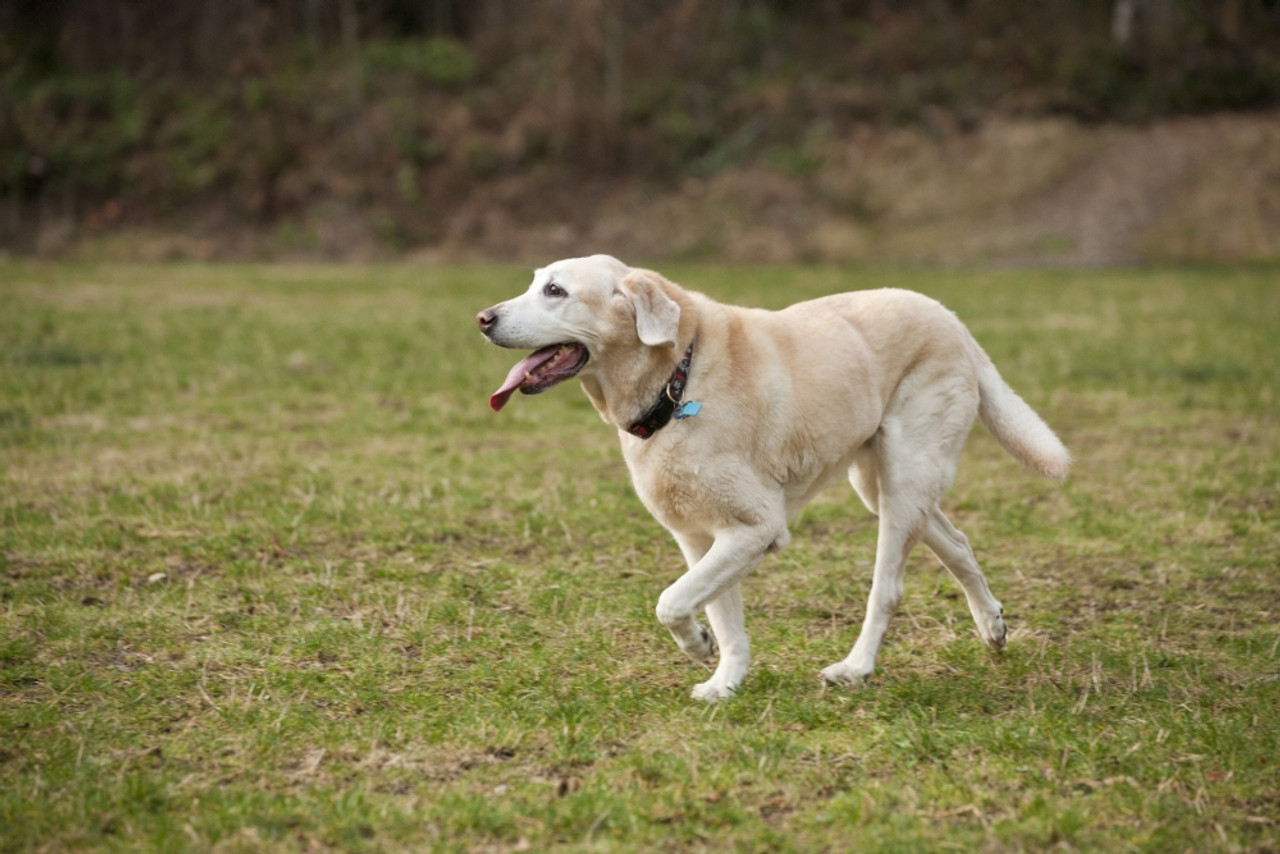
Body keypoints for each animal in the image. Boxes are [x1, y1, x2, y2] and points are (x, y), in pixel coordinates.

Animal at [476, 256, 1064, 701]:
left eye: (555, 290)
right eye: (534, 282)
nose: (482, 318)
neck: (678, 381)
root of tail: (952, 318)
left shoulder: (755, 530)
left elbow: (671, 602)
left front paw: (697, 647)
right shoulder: (702, 538)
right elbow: (720, 615)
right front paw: (722, 678)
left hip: (903, 481)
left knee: (889, 589)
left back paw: (855, 668)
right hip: (880, 485)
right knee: (957, 541)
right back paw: (993, 627)